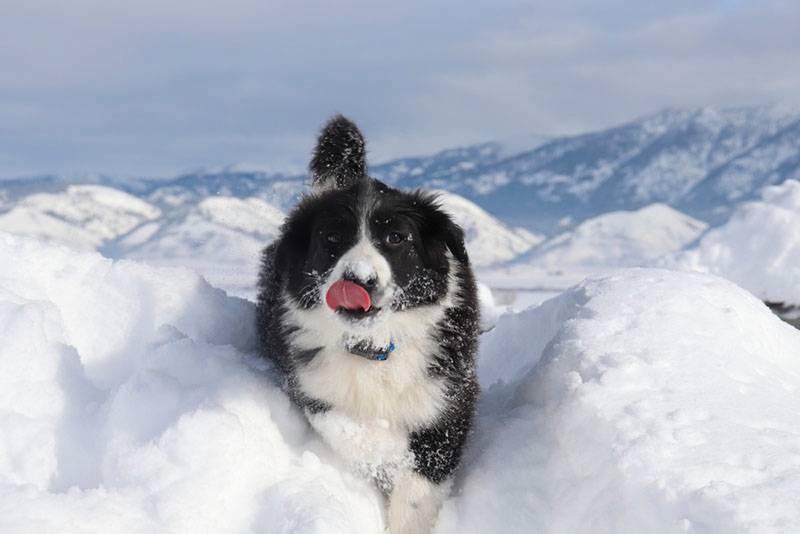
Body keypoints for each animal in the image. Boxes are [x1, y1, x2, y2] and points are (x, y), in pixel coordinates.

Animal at [260, 117, 478, 534]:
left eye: (396, 237)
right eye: (331, 237)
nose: (359, 280)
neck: (374, 346)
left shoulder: (449, 398)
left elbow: (421, 482)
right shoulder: (310, 382)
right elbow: (347, 428)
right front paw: (386, 454)